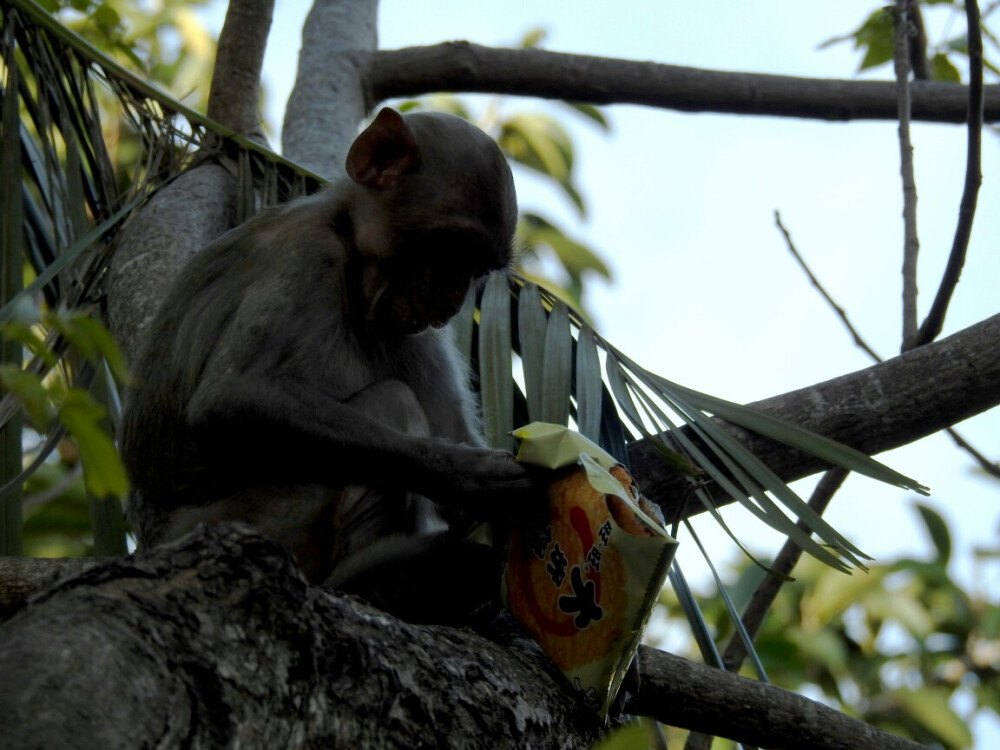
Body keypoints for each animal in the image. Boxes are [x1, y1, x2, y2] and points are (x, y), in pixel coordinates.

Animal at [120, 107, 544, 624]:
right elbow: (229, 400)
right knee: (392, 402)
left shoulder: (412, 328)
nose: (451, 300)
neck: (353, 258)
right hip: (248, 522)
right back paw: (369, 584)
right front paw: (466, 473)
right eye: (450, 250)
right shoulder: (305, 253)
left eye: (477, 268)